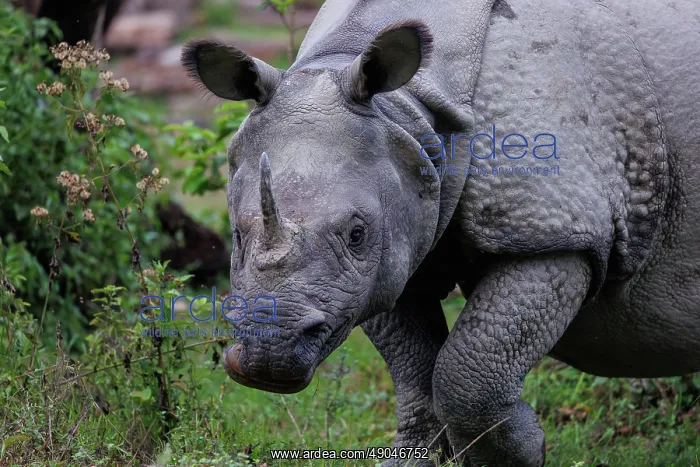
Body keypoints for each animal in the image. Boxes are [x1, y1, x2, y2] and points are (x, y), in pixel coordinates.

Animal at [181, 0, 700, 464]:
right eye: (237, 235)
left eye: (356, 234)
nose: (268, 357)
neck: (409, 106)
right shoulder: (393, 246)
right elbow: (415, 370)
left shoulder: (555, 228)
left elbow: (470, 371)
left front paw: (521, 452)